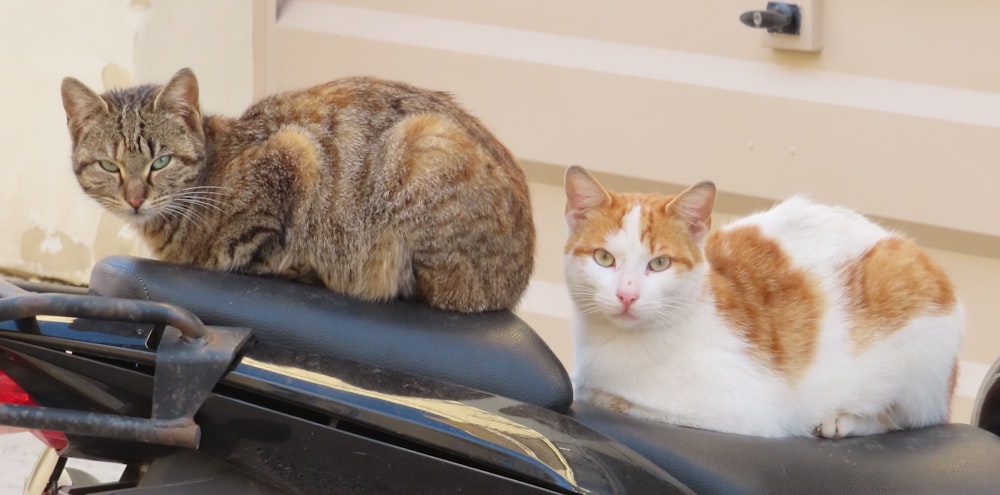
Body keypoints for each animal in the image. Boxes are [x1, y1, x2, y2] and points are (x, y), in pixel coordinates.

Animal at [59, 68, 536, 312]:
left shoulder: (293, 152)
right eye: (109, 165)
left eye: (161, 162)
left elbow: (249, 245)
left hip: (424, 145)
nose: (135, 198)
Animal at [564, 166, 960, 438]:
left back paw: (842, 420)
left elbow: (610, 398)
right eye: (604, 258)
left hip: (917, 360)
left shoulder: (745, 411)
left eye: (659, 263)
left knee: (904, 417)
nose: (627, 294)